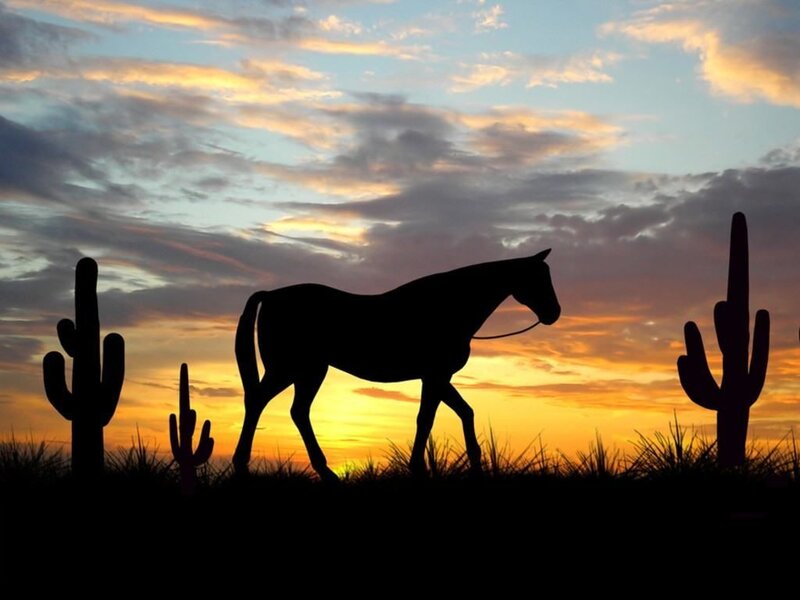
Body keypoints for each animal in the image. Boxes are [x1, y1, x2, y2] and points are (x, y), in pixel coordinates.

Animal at [232, 249, 561, 481]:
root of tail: (271, 295)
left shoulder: (437, 377)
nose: (554, 313)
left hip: (309, 371)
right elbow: (426, 419)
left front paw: (475, 464)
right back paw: (242, 465)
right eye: (538, 278)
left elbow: (462, 412)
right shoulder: (435, 375)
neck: (449, 306)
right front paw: (418, 469)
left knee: (297, 411)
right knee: (258, 401)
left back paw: (326, 473)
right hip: (289, 369)